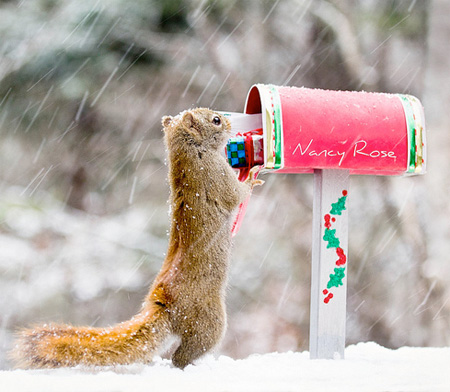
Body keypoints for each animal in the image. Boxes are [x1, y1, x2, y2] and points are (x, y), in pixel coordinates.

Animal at [11, 108, 264, 370]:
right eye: (215, 120)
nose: (230, 123)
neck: (192, 151)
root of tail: (164, 303)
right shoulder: (216, 175)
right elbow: (236, 194)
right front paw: (252, 177)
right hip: (209, 320)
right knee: (183, 354)